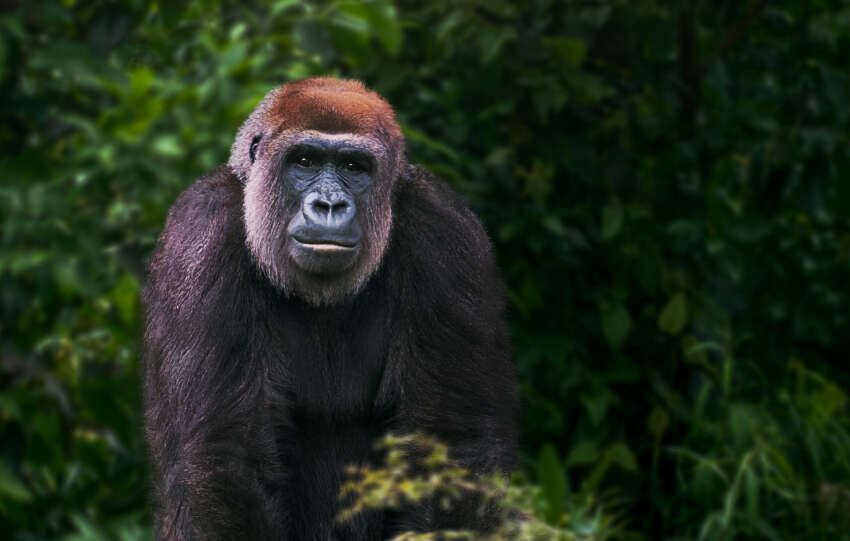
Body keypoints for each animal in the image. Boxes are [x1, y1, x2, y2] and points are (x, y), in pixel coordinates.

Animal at [143, 78, 518, 540]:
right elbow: (227, 456)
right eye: (304, 160)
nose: (329, 204)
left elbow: (453, 449)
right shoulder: (204, 229)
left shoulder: (446, 231)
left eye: (355, 167)